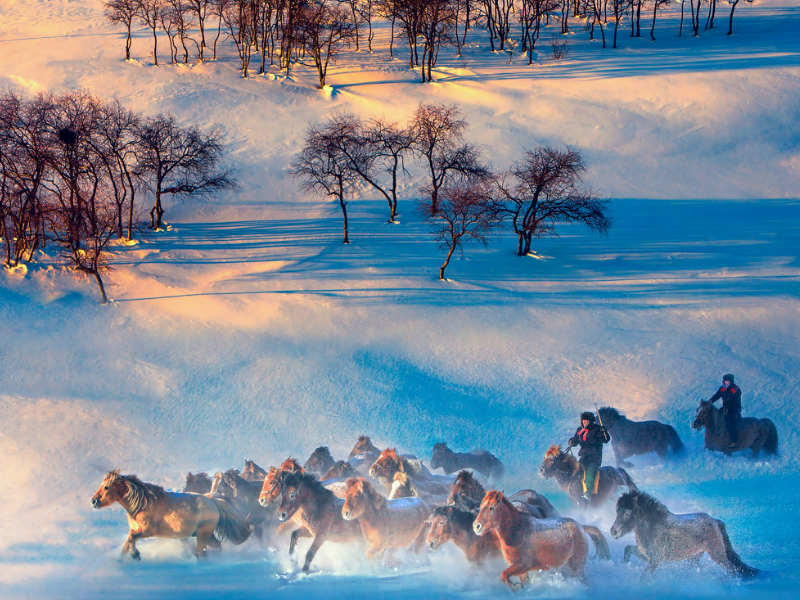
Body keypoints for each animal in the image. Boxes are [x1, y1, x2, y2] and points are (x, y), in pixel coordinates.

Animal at [90, 466, 248, 560]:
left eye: (106, 487)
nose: (93, 501)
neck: (142, 505)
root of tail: (211, 499)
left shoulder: (148, 531)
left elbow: (131, 540)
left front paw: (135, 555)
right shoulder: (134, 530)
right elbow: (127, 542)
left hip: (203, 535)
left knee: (202, 552)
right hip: (204, 535)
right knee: (215, 547)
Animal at [608, 490, 760, 580]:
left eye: (627, 513)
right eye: (617, 511)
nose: (613, 531)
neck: (653, 527)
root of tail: (715, 521)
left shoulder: (655, 559)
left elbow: (644, 578)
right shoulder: (647, 556)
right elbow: (627, 549)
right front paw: (625, 565)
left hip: (717, 554)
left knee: (731, 570)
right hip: (694, 557)